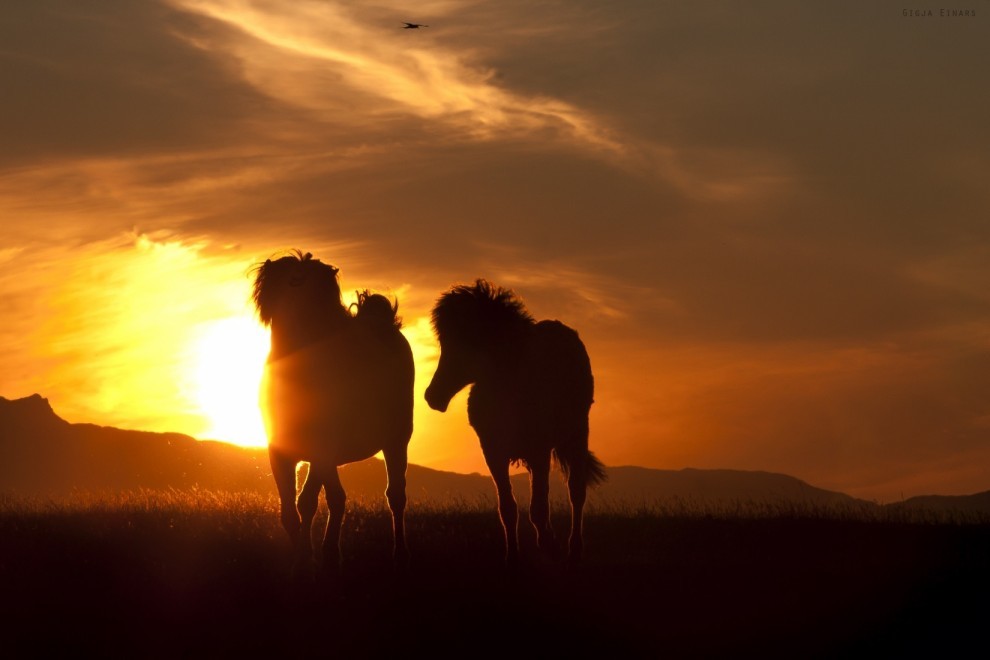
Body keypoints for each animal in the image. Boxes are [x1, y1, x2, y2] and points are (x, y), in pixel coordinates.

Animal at [256, 251, 414, 572]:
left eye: (297, 279)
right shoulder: (280, 452)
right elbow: (290, 511)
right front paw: (302, 560)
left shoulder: (322, 449)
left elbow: (307, 502)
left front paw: (309, 558)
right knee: (336, 498)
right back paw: (329, 552)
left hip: (396, 442)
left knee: (396, 496)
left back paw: (399, 554)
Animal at [424, 282, 604, 564]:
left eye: (467, 339)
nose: (433, 397)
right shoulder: (493, 453)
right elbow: (508, 508)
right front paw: (513, 556)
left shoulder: (539, 450)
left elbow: (538, 509)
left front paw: (550, 547)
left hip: (576, 435)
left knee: (576, 492)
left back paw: (574, 549)